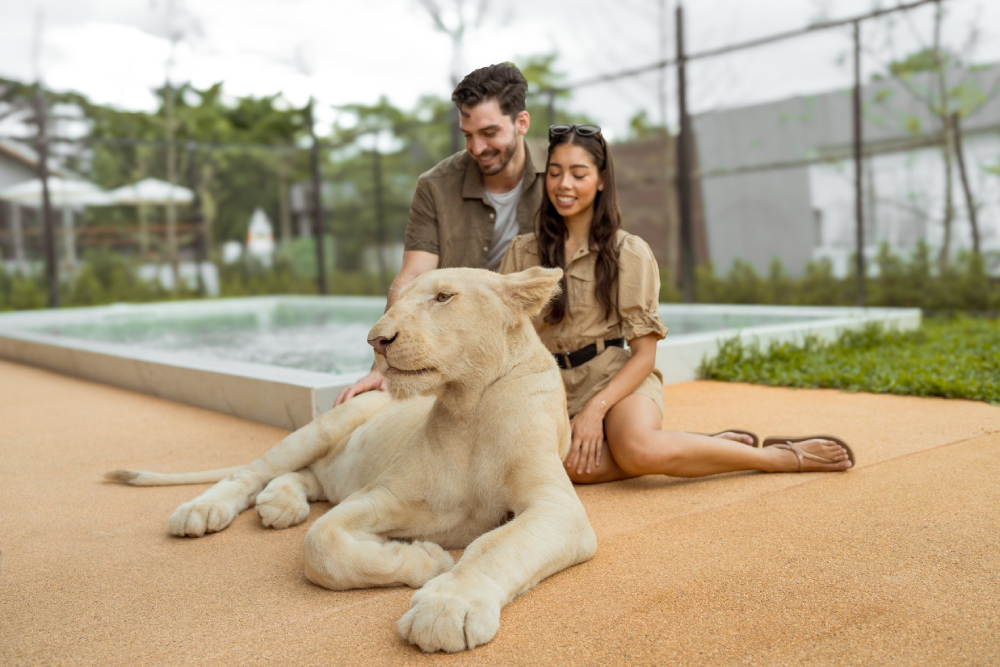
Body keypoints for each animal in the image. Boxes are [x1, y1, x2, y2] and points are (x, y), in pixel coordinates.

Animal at [105, 266, 598, 653]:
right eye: (399, 299)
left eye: (443, 296)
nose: (377, 340)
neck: (467, 405)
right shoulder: (384, 495)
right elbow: (322, 544)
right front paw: (428, 560)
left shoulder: (557, 507)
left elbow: (499, 545)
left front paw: (445, 608)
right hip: (323, 428)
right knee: (251, 473)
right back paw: (201, 510)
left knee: (300, 479)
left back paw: (279, 505)